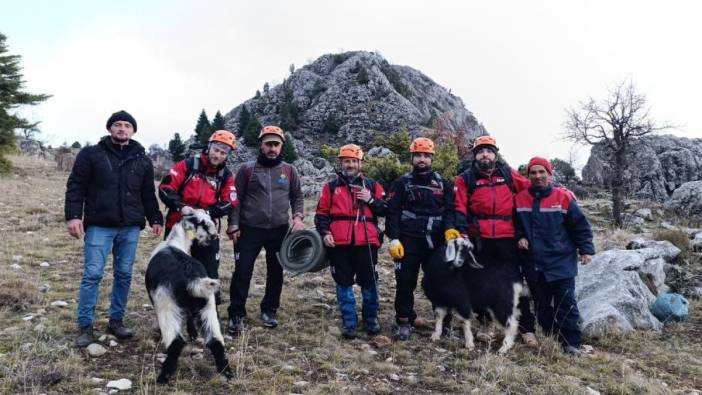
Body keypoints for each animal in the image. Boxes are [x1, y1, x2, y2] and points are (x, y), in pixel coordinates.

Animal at [146, 210, 234, 384]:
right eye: (202, 223)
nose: (214, 236)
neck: (174, 243)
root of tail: (192, 278)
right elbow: (189, 318)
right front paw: (193, 333)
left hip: (167, 305)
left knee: (176, 343)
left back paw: (163, 377)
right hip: (208, 306)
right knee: (216, 341)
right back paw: (226, 372)